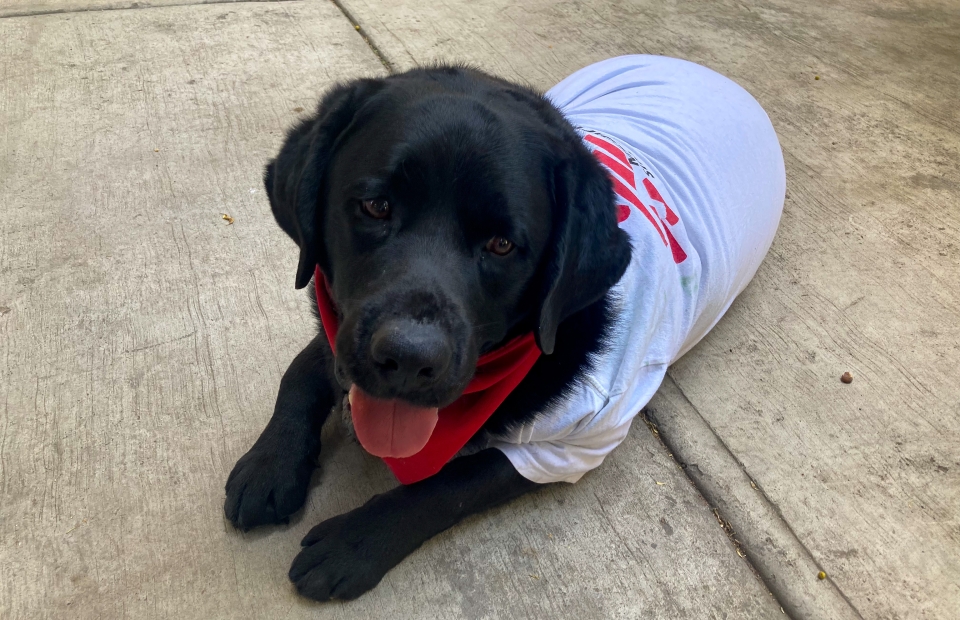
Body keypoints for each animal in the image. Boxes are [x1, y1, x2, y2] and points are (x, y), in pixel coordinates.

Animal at [227, 55, 788, 600]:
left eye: (502, 245)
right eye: (376, 206)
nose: (408, 357)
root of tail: (715, 77)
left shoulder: (575, 445)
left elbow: (448, 484)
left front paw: (354, 543)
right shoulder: (339, 333)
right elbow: (301, 371)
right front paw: (269, 465)